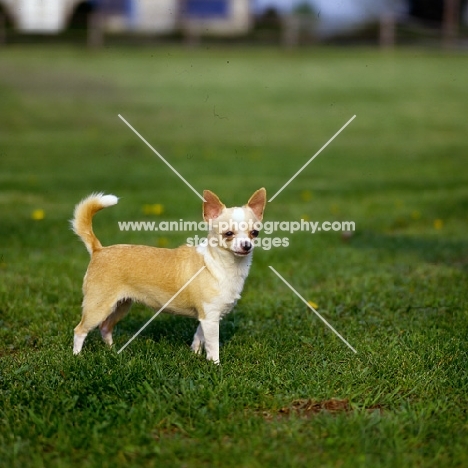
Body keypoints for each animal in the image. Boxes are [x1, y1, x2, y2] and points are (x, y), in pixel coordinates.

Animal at [71, 188, 266, 364]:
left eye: (254, 233)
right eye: (228, 234)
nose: (247, 245)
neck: (221, 263)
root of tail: (99, 250)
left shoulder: (205, 317)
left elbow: (199, 337)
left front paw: (195, 354)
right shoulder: (211, 318)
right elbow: (213, 346)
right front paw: (215, 366)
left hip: (120, 305)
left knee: (105, 327)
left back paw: (112, 351)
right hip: (98, 307)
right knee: (80, 330)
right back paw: (77, 357)